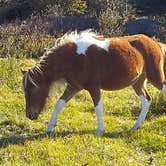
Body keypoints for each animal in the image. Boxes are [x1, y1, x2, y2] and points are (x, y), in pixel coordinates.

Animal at [22, 29, 166, 136]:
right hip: (137, 82)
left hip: (156, 78)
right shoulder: (73, 87)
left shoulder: (94, 87)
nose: (29, 115)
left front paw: (100, 131)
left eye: (32, 89)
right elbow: (59, 104)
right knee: (147, 100)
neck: (73, 58)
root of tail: (156, 44)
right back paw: (135, 126)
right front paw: (49, 128)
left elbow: (98, 108)